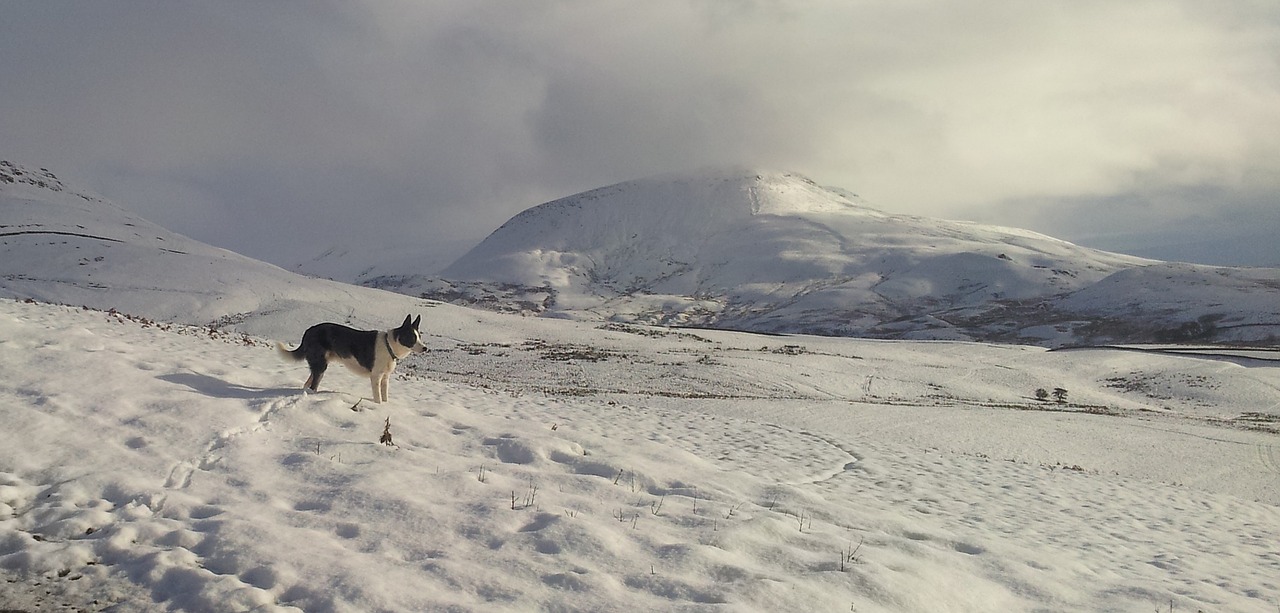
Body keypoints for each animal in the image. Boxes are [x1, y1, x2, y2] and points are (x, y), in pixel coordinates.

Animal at [277, 314, 427, 404]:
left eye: (419, 336)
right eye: (412, 337)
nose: (425, 348)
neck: (389, 344)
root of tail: (309, 330)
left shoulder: (385, 378)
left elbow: (384, 396)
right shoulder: (376, 376)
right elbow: (378, 397)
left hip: (319, 365)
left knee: (308, 383)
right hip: (320, 365)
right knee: (313, 385)